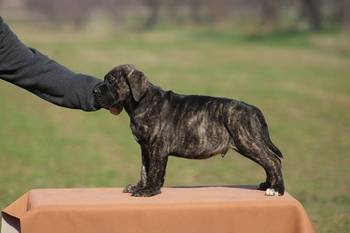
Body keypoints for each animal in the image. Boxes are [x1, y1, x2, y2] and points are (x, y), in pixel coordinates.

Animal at [93, 64, 284, 198]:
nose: (94, 90)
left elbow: (154, 170)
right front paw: (140, 186)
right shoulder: (145, 147)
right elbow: (144, 169)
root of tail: (253, 109)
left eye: (111, 81)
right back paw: (268, 185)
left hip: (247, 140)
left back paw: (276, 189)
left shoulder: (157, 147)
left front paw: (149, 191)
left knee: (273, 161)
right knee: (268, 162)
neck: (141, 101)